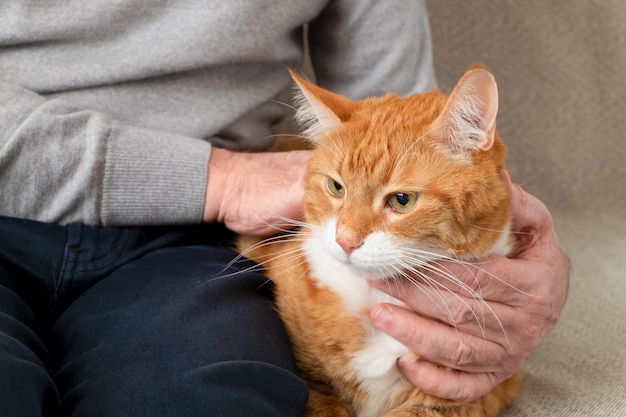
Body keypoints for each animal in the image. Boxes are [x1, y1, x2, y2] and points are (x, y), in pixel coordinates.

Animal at [236, 66, 520, 414]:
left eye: (402, 200)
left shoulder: (458, 399)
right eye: (336, 187)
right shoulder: (315, 384)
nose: (345, 241)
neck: (377, 300)